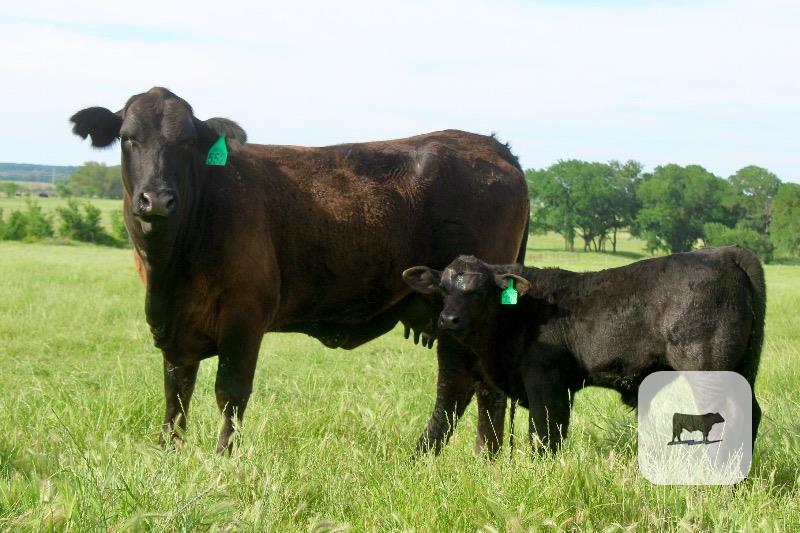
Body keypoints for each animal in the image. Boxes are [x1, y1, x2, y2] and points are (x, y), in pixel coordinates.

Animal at [70, 87, 529, 455]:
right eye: (128, 138)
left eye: (186, 142)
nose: (158, 200)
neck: (171, 267)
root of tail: (491, 146)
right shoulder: (174, 327)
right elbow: (175, 394)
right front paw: (168, 453)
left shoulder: (244, 317)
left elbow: (230, 393)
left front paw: (222, 458)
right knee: (473, 386)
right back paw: (467, 457)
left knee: (464, 385)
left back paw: (449, 457)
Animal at [402, 247, 765, 453]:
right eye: (443, 289)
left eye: (479, 291)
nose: (449, 319)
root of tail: (724, 253)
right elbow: (554, 433)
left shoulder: (546, 382)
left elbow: (543, 434)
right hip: (741, 368)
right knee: (749, 414)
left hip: (707, 366)